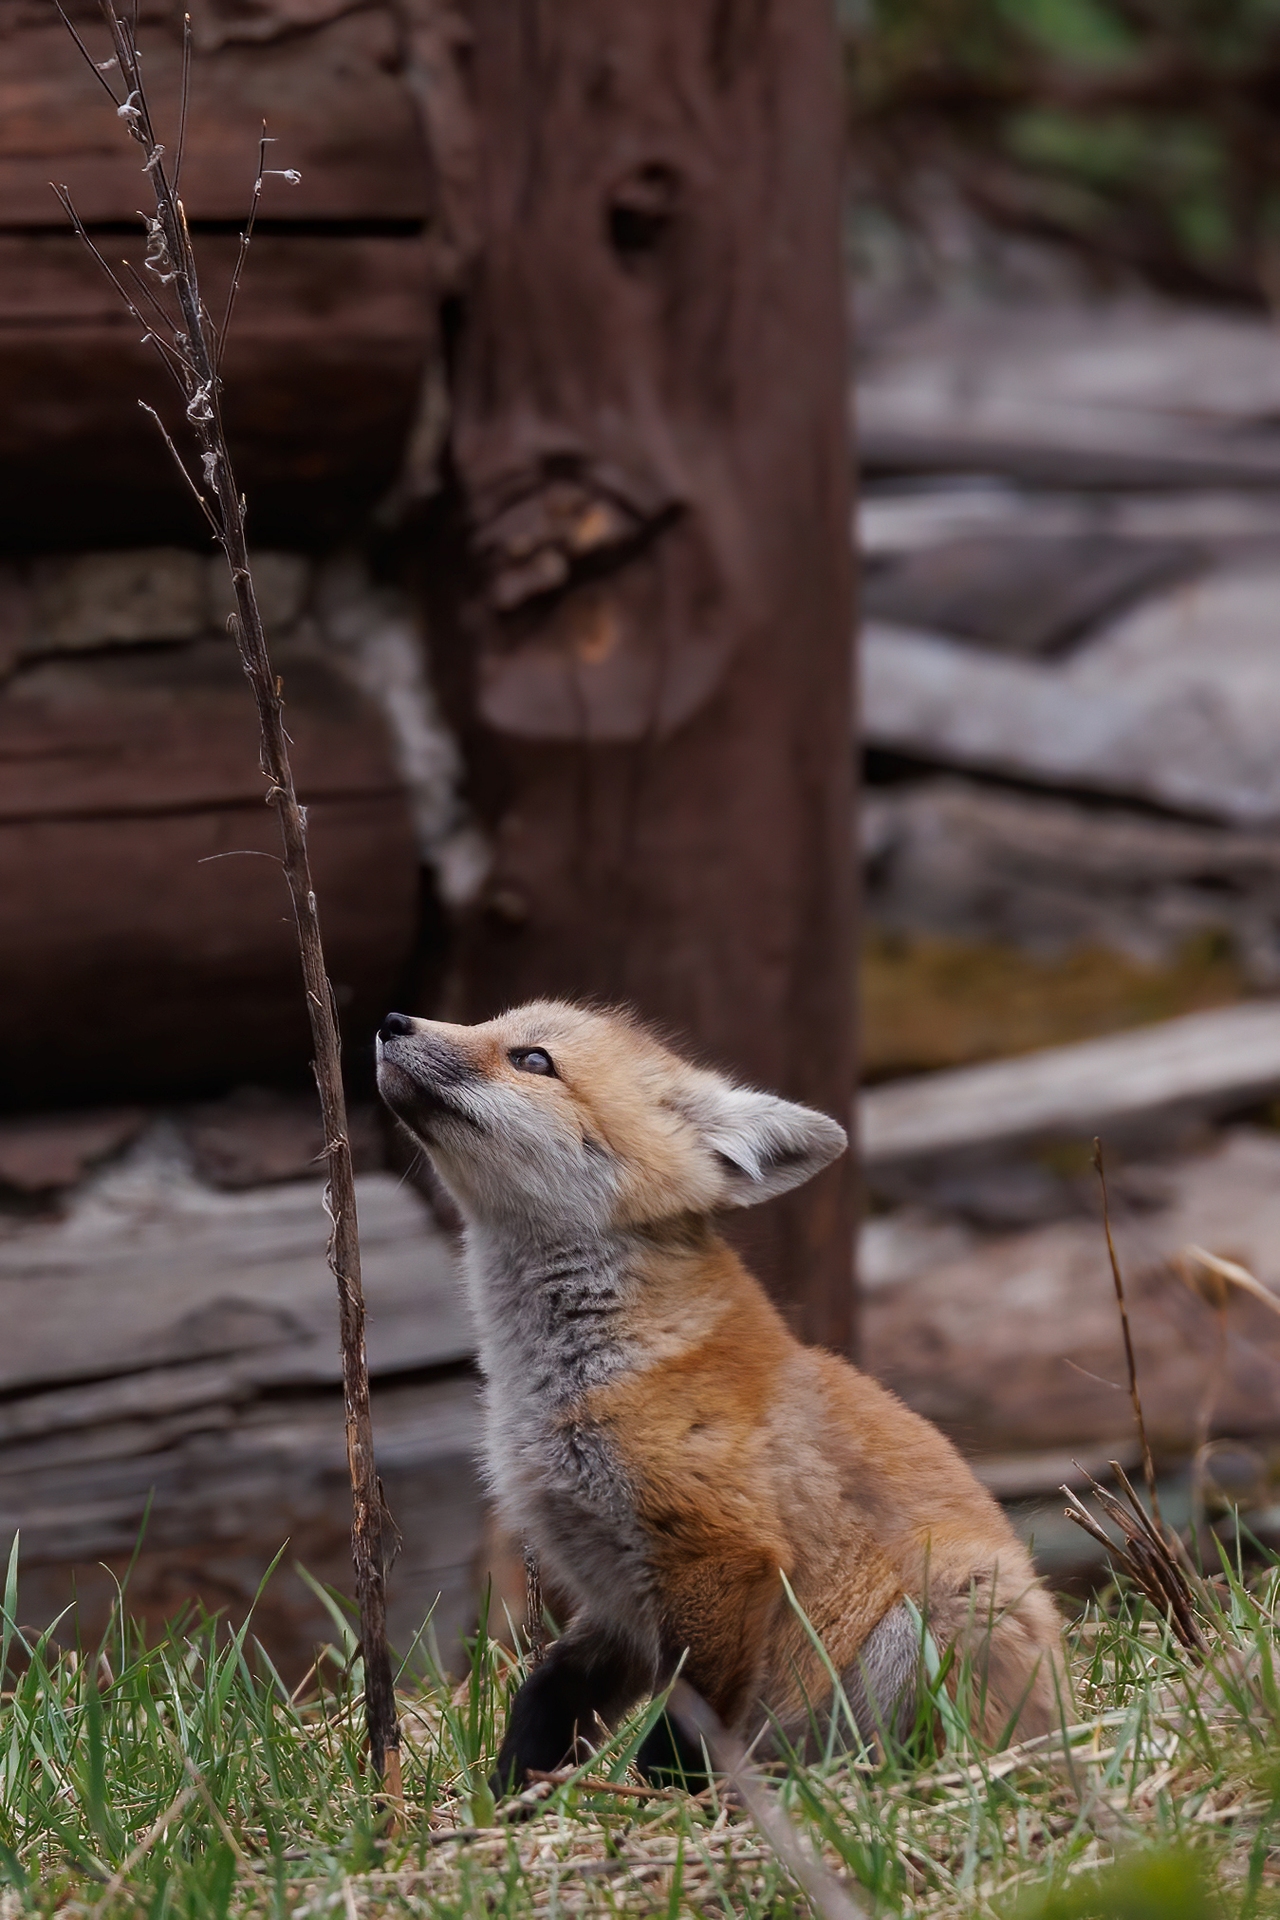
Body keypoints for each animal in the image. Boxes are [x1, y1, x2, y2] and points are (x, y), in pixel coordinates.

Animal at [376, 999, 1062, 1790]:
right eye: (489, 1023)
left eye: (532, 1060)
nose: (392, 1021)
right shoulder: (618, 1600)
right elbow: (547, 1696)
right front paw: (509, 1800)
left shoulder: (723, 1557)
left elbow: (680, 1732)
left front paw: (661, 1805)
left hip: (943, 1609)